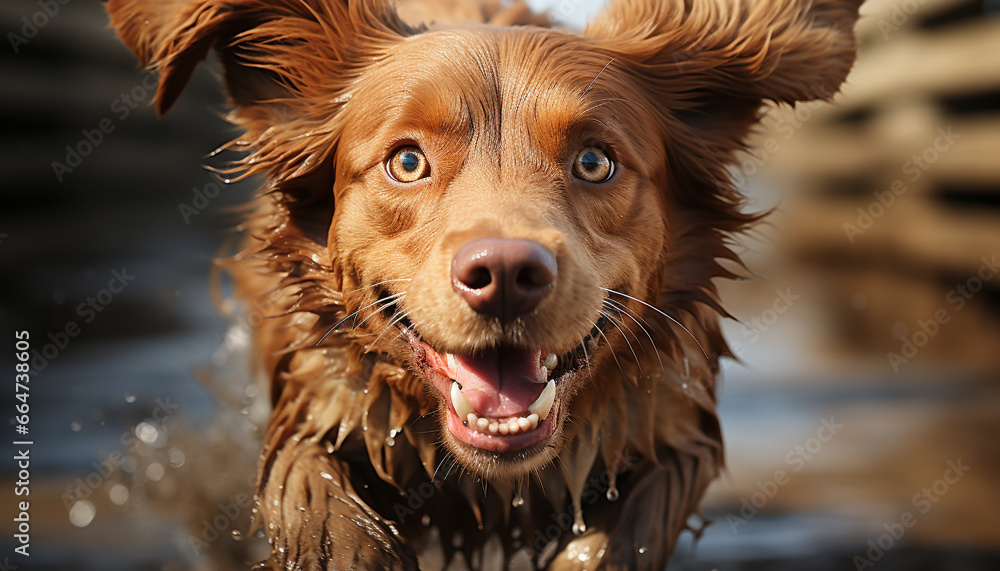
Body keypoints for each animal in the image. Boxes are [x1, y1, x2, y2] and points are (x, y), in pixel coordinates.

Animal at [107, 0, 860, 568]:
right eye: (407, 161)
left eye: (595, 161)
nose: (504, 275)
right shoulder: (317, 394)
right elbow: (315, 503)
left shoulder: (668, 420)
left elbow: (624, 532)